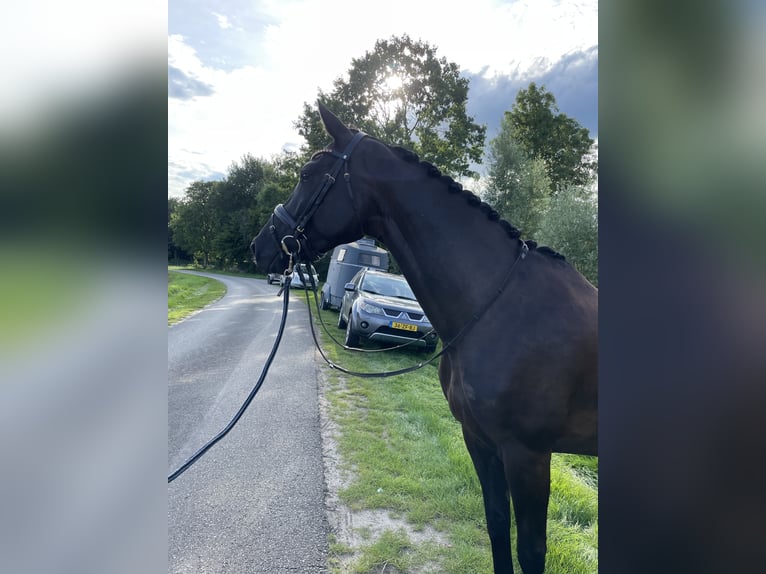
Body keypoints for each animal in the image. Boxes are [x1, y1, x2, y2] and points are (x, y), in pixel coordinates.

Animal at [252, 104, 600, 574]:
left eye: (307, 174)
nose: (261, 246)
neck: (499, 305)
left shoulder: (528, 454)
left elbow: (530, 551)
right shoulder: (481, 442)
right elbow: (496, 527)